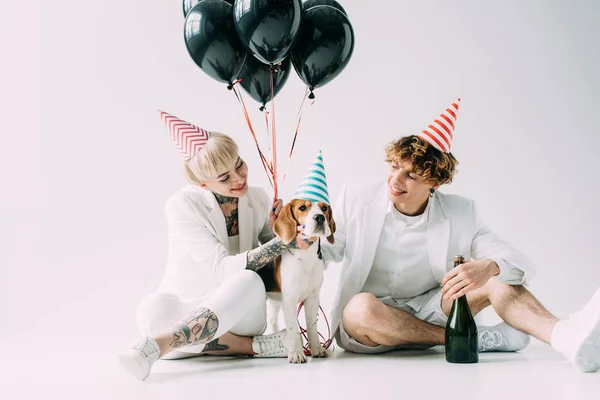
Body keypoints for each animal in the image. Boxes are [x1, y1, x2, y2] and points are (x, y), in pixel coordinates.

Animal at [255, 199, 336, 362]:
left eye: (324, 208)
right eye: (302, 208)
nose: (320, 217)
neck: (305, 258)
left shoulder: (312, 298)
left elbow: (312, 325)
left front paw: (317, 349)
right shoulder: (289, 299)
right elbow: (293, 328)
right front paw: (296, 353)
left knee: (273, 320)